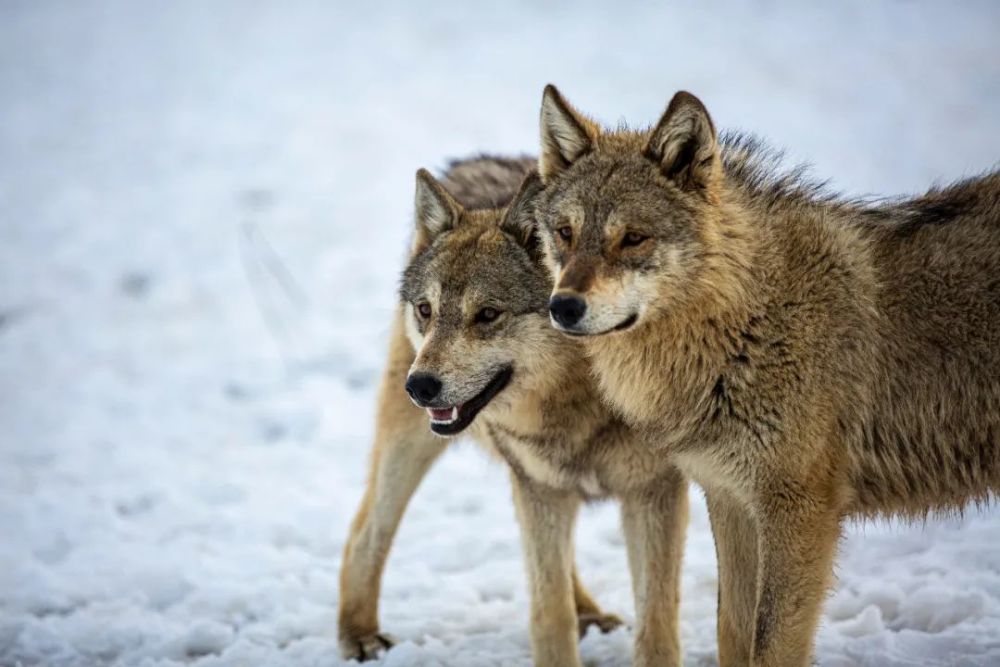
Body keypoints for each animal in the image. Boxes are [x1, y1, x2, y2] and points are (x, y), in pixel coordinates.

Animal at [336, 158, 688, 667]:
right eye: (426, 309)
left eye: (487, 314)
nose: (419, 387)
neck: (579, 399)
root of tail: (476, 163)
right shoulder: (538, 485)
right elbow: (549, 614)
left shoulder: (655, 492)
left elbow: (657, 622)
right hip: (411, 446)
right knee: (365, 532)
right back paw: (359, 636)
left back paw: (590, 614)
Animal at [532, 85, 1000, 667]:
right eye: (565, 234)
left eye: (633, 238)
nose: (563, 307)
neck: (748, 323)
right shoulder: (730, 498)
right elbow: (732, 630)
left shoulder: (800, 510)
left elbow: (771, 643)